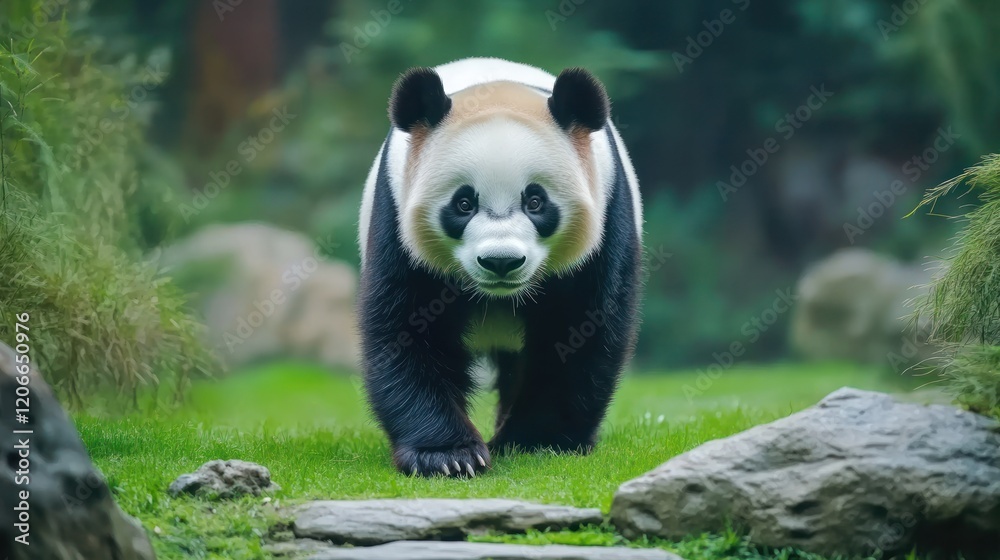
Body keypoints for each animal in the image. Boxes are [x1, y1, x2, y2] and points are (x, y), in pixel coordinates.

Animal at [358, 57, 643, 477]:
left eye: (535, 201)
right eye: (463, 204)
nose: (501, 261)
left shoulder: (606, 216)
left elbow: (579, 332)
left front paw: (537, 441)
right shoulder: (396, 217)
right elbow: (406, 330)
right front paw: (449, 456)